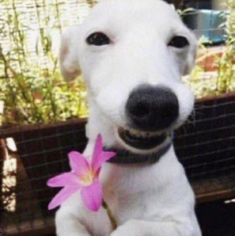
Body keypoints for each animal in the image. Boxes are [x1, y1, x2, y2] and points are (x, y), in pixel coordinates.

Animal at [56, 0, 201, 235]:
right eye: (96, 38)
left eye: (180, 41)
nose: (155, 105)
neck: (127, 166)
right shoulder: (69, 212)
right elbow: (69, 222)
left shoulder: (184, 224)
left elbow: (131, 227)